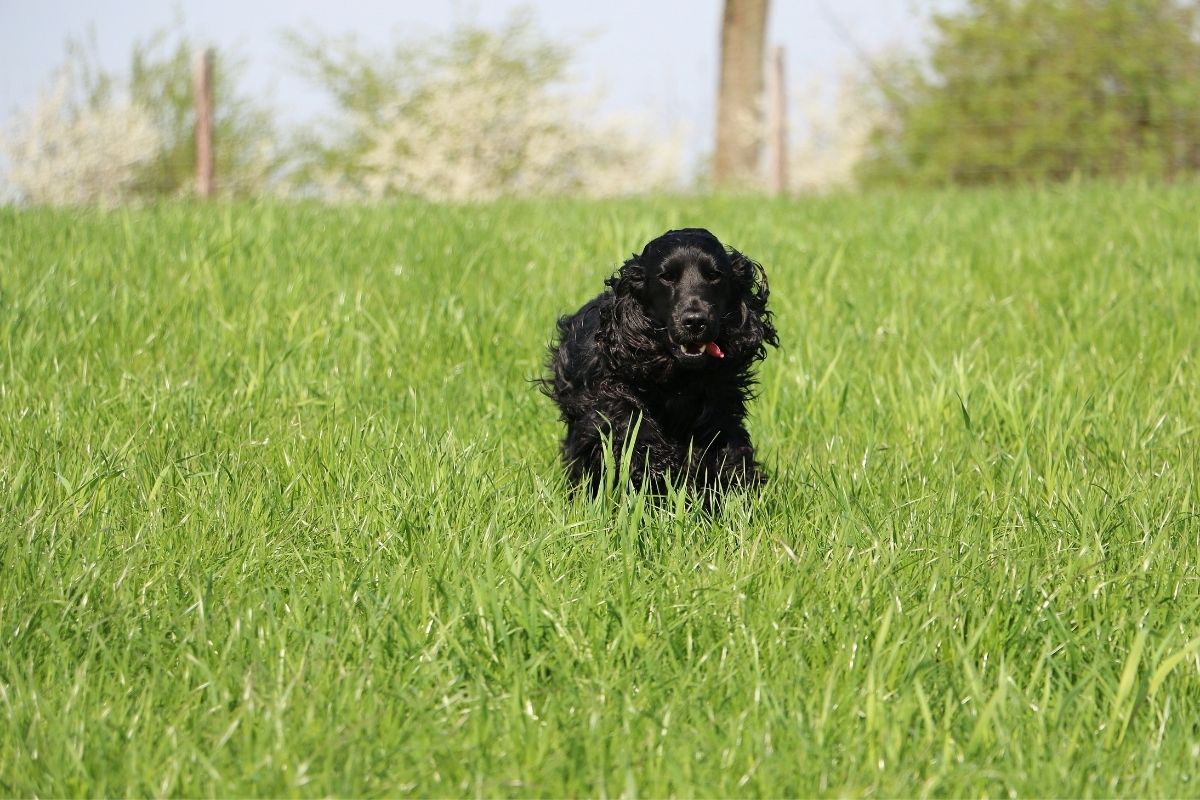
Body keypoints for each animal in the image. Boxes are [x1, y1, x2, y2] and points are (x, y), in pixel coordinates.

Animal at [544, 227, 777, 503]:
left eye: (714, 275)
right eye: (667, 277)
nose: (695, 321)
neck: (678, 376)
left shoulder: (720, 405)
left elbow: (724, 448)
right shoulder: (605, 396)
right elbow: (629, 423)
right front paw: (658, 464)